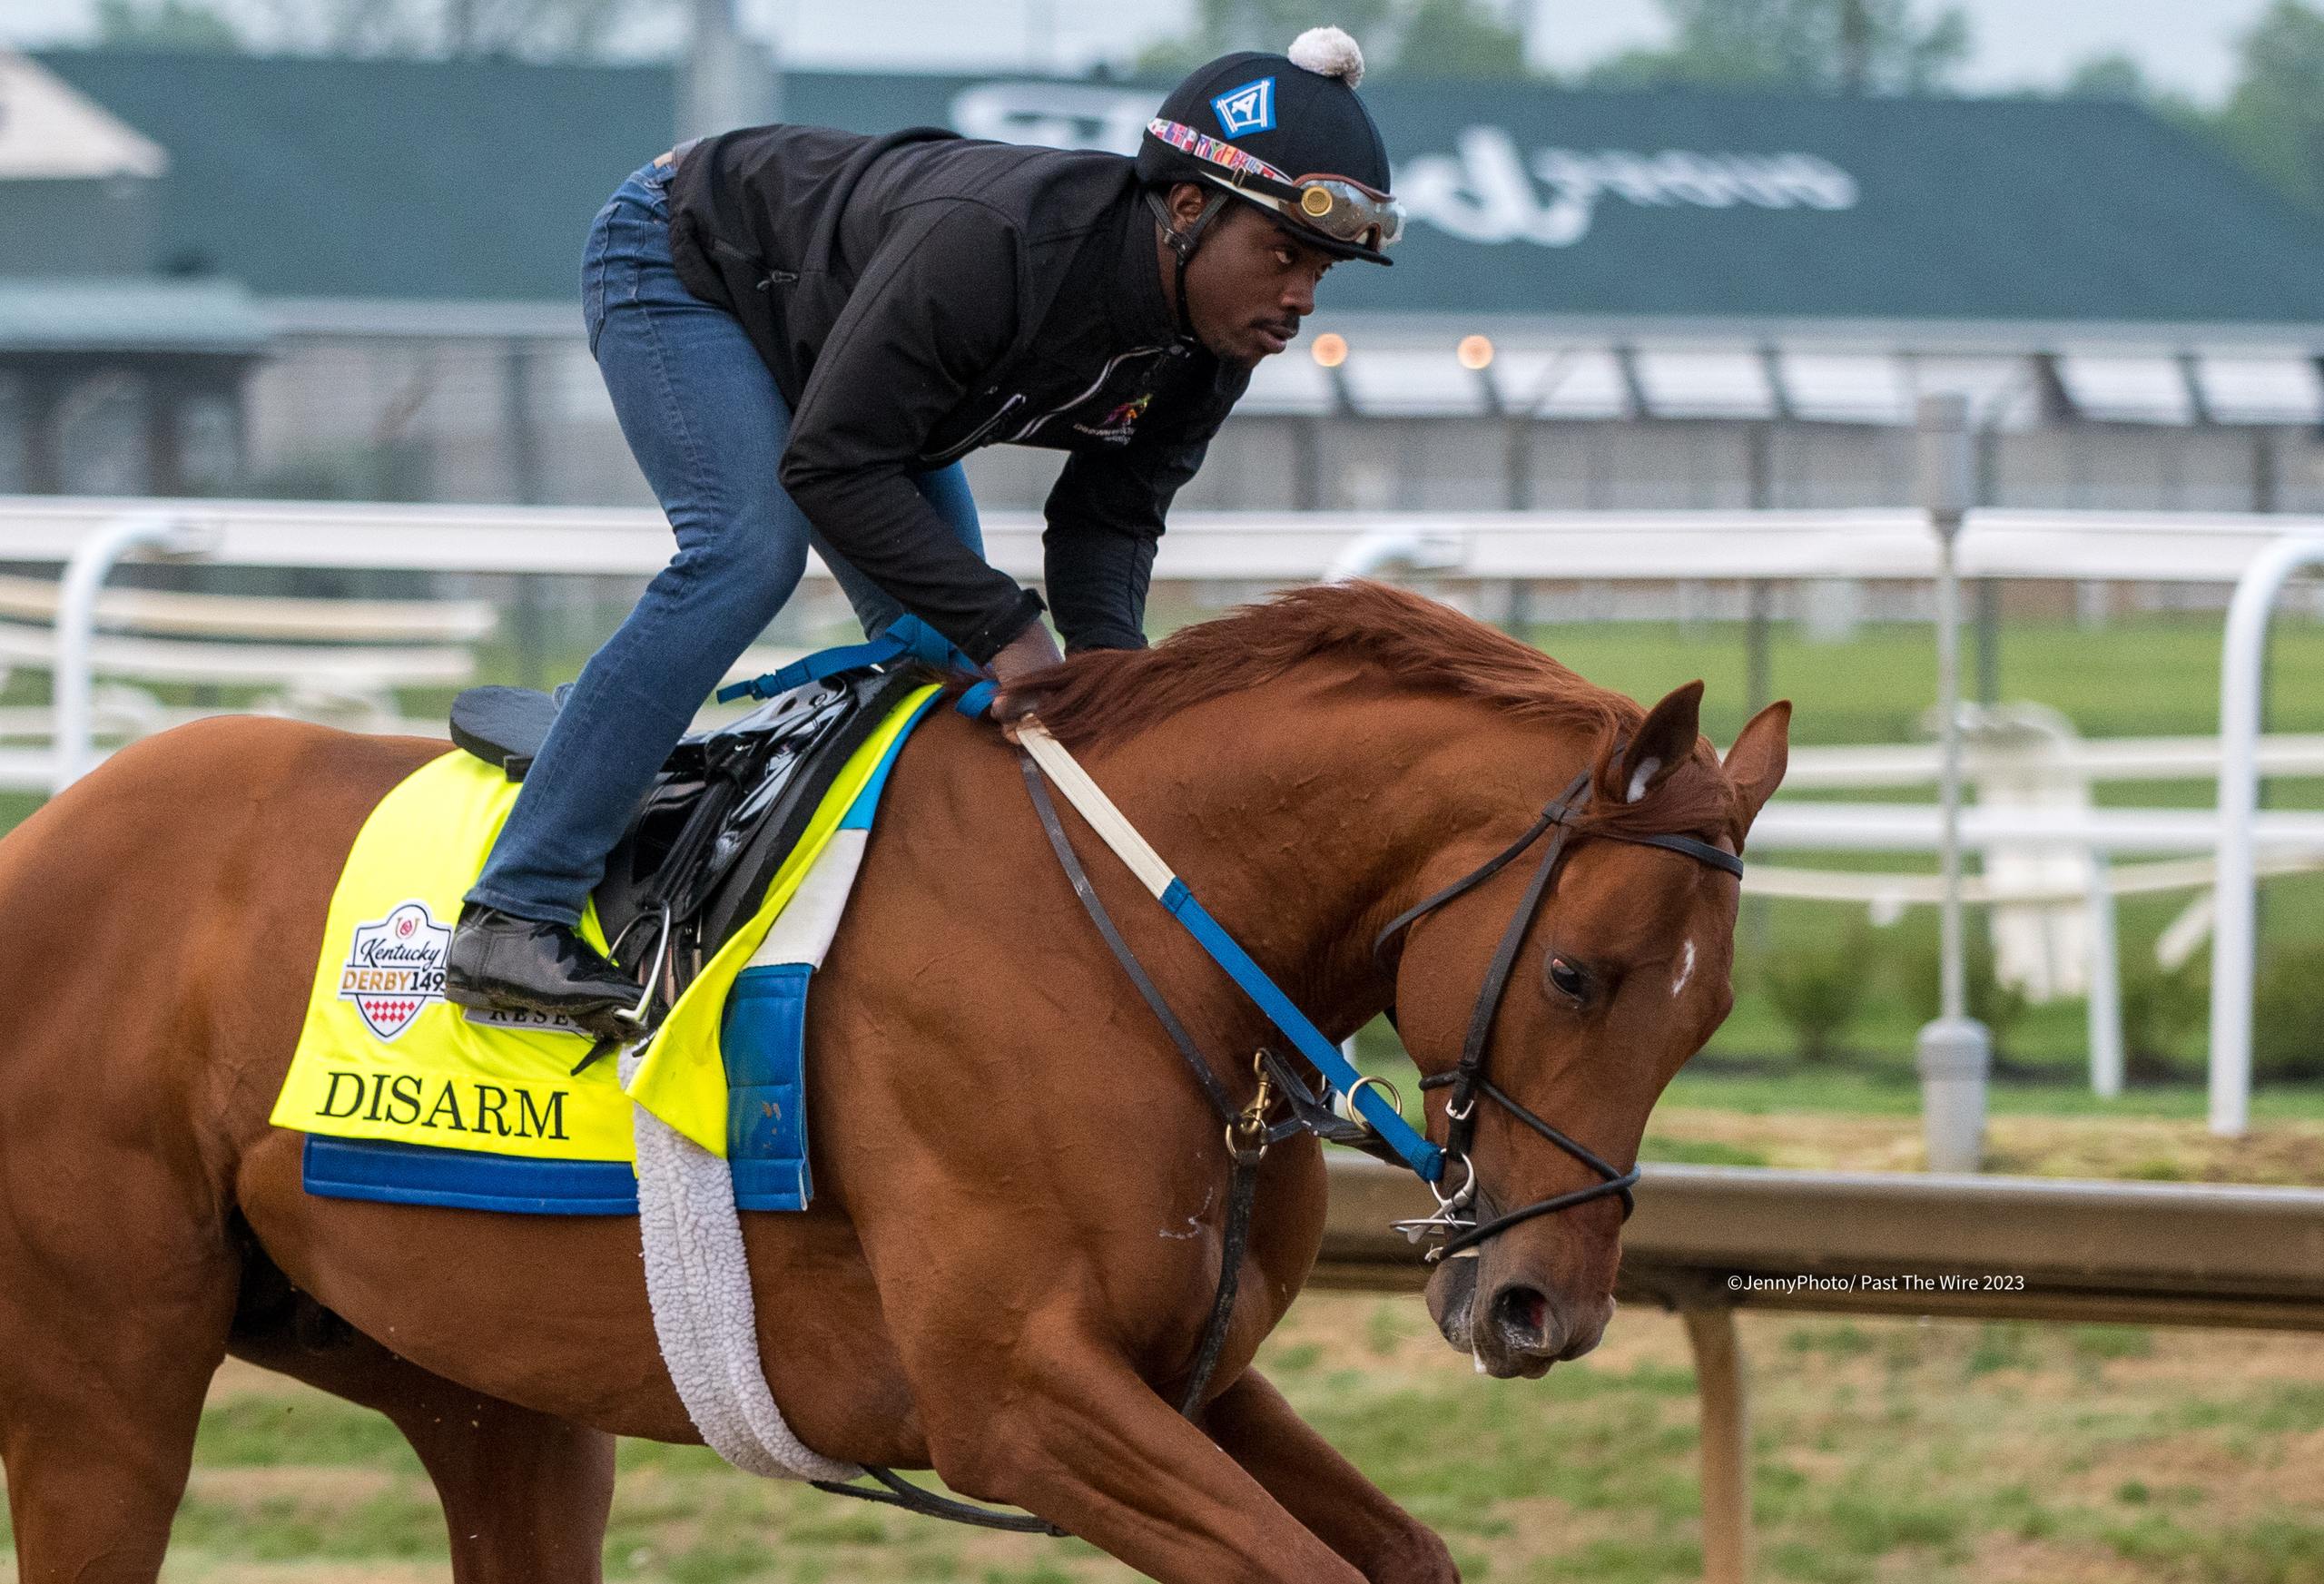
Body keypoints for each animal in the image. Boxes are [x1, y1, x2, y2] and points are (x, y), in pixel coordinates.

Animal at [0, 580, 1775, 1579]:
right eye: (1578, 973)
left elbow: (1404, 1555)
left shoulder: (1179, 1376)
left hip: (468, 1381)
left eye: (1710, 1013)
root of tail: (49, 832)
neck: (1134, 926)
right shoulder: (1012, 1401)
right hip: (106, 1370)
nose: (1541, 1307)